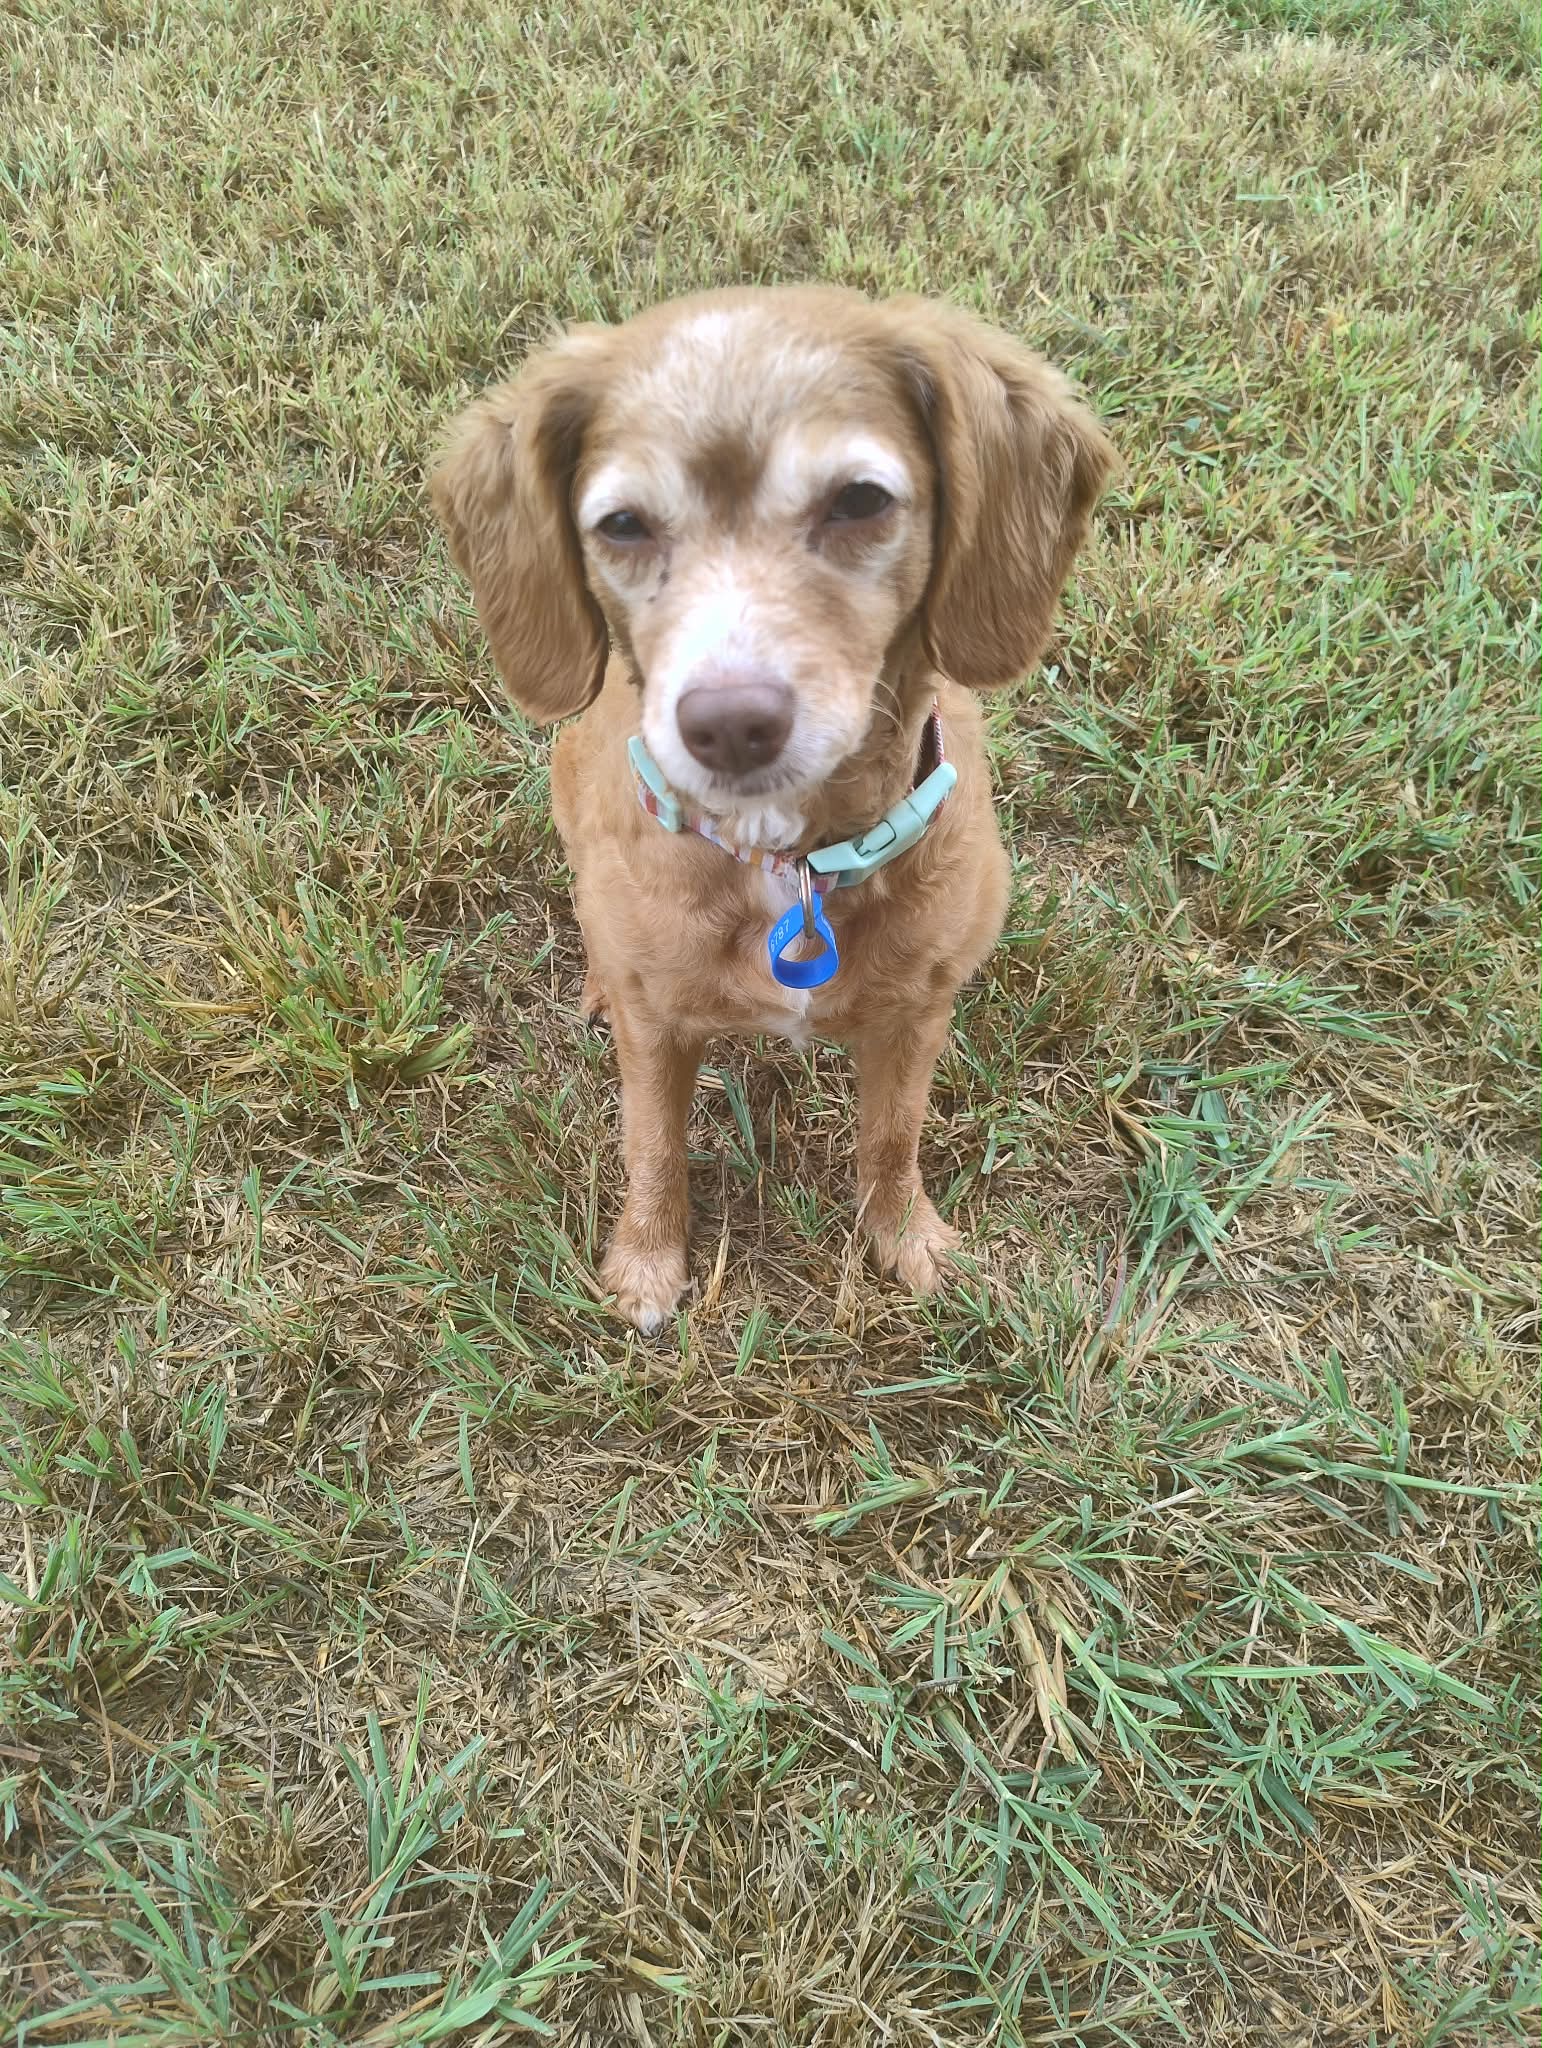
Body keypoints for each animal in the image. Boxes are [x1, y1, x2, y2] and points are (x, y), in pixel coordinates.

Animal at [431, 286, 1113, 1331]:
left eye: (861, 500)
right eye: (622, 524)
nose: (729, 724)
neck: (788, 866)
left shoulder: (918, 1016)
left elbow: (892, 1139)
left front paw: (908, 1242)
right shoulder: (658, 1035)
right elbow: (652, 1146)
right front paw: (646, 1266)